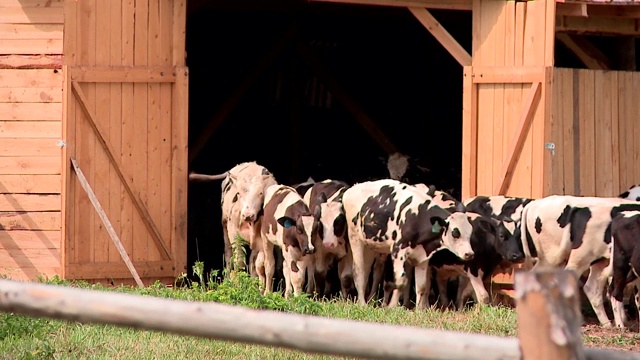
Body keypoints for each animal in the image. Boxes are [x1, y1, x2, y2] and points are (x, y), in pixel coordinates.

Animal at [342, 180, 472, 310]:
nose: (469, 254)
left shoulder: (422, 258)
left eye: (470, 232)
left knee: (367, 270)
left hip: (370, 245)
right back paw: (362, 303)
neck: (418, 218)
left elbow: (422, 286)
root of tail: (352, 189)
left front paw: (419, 310)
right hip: (355, 238)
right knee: (358, 271)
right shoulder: (397, 250)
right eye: (455, 233)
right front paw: (391, 306)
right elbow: (401, 282)